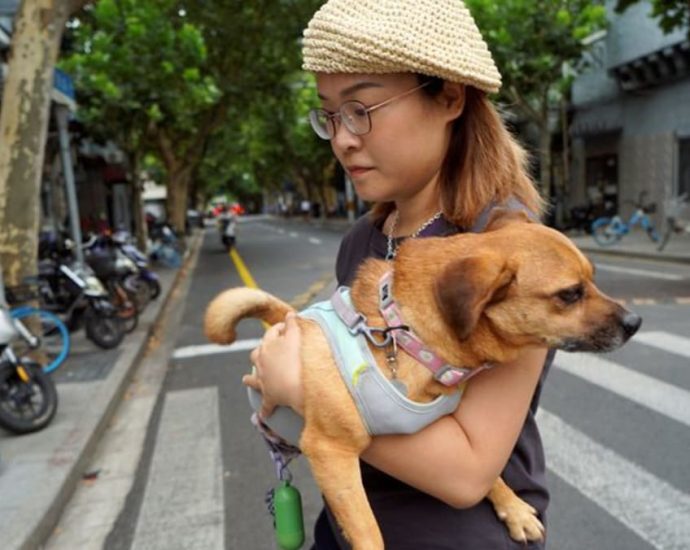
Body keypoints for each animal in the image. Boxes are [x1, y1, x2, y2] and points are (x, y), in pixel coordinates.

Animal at [203, 213, 640, 548]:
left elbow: (493, 477)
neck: (404, 335)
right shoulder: (332, 452)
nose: (636, 322)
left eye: (593, 280)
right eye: (570, 294)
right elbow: (368, 531)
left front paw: (512, 507)